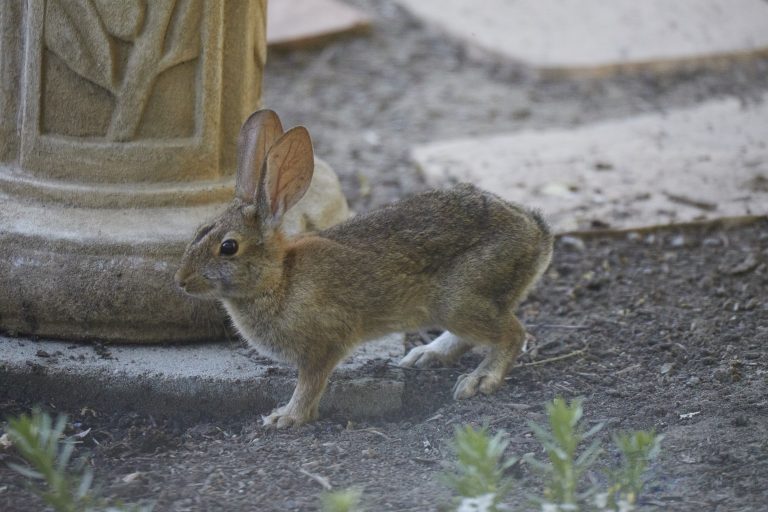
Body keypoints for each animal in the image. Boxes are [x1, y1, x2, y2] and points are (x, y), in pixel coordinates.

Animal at [175, 109, 554, 428]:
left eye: (228, 247)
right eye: (199, 231)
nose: (181, 281)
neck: (279, 278)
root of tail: (537, 233)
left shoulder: (324, 343)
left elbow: (310, 384)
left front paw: (285, 417)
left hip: (459, 300)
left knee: (514, 334)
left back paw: (479, 380)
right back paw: (426, 355)